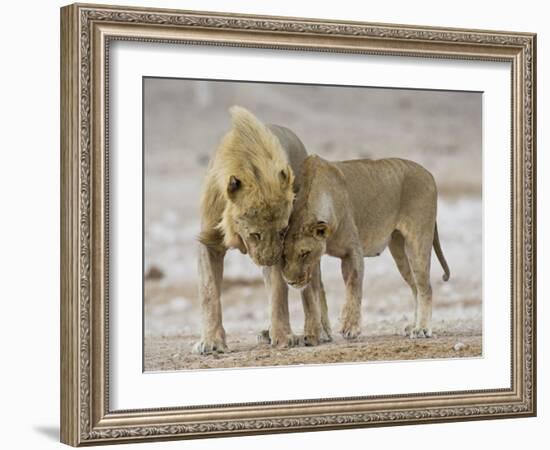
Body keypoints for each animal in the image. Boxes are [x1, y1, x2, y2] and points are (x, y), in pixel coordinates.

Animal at [195, 107, 330, 354]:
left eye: (282, 231)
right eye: (255, 234)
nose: (269, 259)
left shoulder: (283, 247)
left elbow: (278, 292)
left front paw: (285, 337)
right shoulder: (209, 241)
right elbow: (209, 292)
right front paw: (211, 342)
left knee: (313, 285)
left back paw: (319, 331)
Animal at [282, 155, 450, 342]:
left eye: (304, 253)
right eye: (284, 255)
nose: (289, 281)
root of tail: (428, 173)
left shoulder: (353, 251)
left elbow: (353, 287)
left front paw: (350, 328)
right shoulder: (316, 259)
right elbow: (315, 291)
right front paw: (318, 332)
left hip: (418, 240)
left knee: (425, 287)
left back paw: (422, 329)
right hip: (399, 251)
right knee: (415, 288)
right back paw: (413, 326)